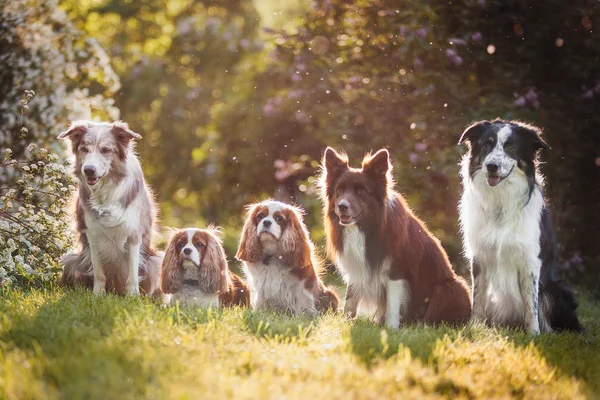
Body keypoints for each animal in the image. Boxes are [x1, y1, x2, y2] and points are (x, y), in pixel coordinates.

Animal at [59, 120, 161, 296]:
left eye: (106, 150)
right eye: (84, 149)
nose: (89, 170)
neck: (105, 190)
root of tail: (115, 291)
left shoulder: (134, 233)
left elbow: (133, 273)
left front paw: (133, 297)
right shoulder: (91, 233)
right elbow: (99, 271)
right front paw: (97, 295)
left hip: (154, 261)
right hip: (71, 258)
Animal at [322, 148, 472, 328]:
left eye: (362, 191)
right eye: (339, 190)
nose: (342, 206)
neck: (367, 227)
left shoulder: (396, 270)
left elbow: (392, 305)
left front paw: (391, 329)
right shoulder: (357, 266)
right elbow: (350, 299)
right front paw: (346, 320)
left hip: (451, 287)